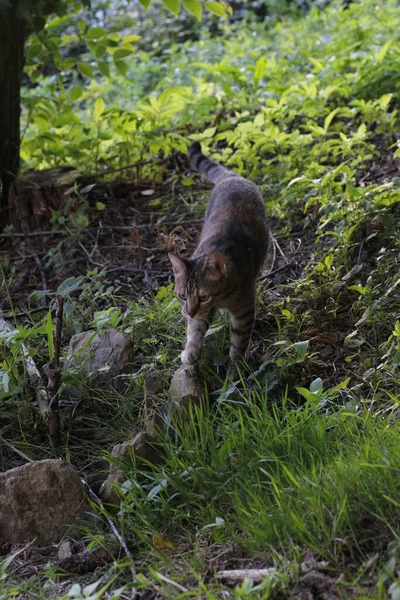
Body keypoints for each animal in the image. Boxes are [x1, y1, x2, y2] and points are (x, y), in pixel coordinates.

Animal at [167, 142, 270, 376]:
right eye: (182, 296)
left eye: (204, 296)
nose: (189, 312)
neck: (222, 297)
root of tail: (231, 177)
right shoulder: (201, 314)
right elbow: (196, 330)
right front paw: (190, 351)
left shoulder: (244, 310)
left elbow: (239, 344)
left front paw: (234, 372)